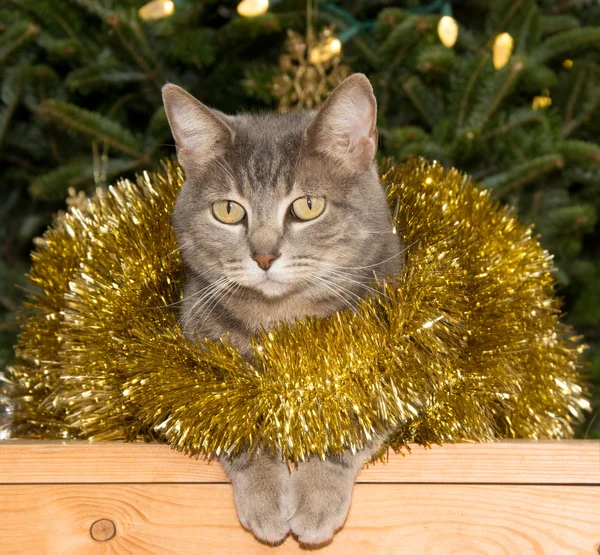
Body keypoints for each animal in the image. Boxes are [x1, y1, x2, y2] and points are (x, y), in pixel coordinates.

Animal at [161, 74, 404, 548]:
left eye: (308, 206)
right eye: (228, 210)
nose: (264, 256)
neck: (284, 323)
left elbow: (351, 413)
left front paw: (316, 494)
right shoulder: (198, 370)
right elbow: (238, 424)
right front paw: (265, 495)